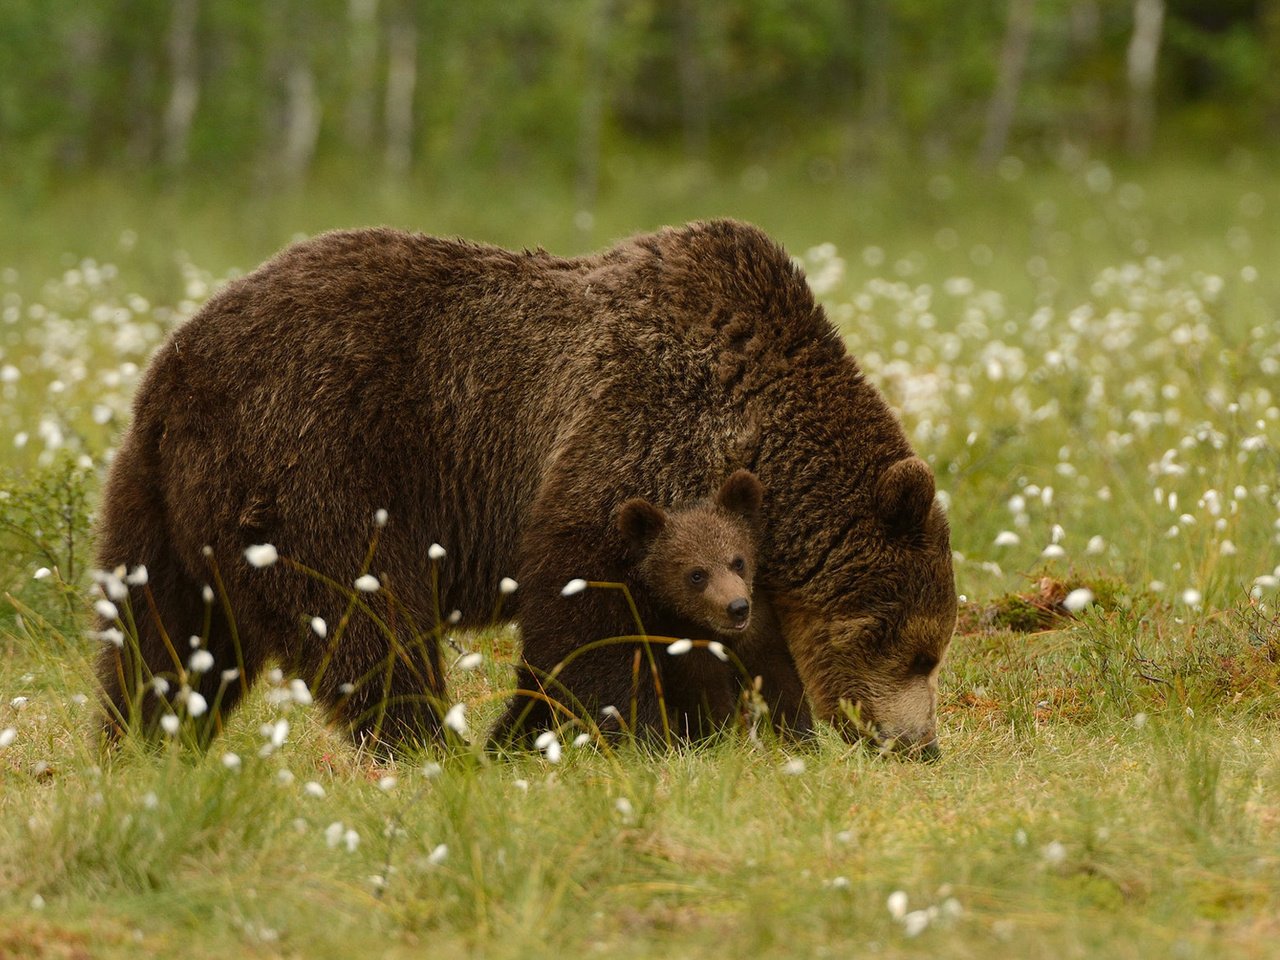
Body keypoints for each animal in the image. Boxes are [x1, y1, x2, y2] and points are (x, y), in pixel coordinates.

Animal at [94, 221, 957, 757]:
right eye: (918, 649)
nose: (919, 746)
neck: (755, 428)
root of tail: (178, 361)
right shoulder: (632, 438)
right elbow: (585, 617)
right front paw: (590, 735)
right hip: (317, 458)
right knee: (364, 616)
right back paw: (431, 745)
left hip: (158, 500)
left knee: (161, 635)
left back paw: (141, 741)